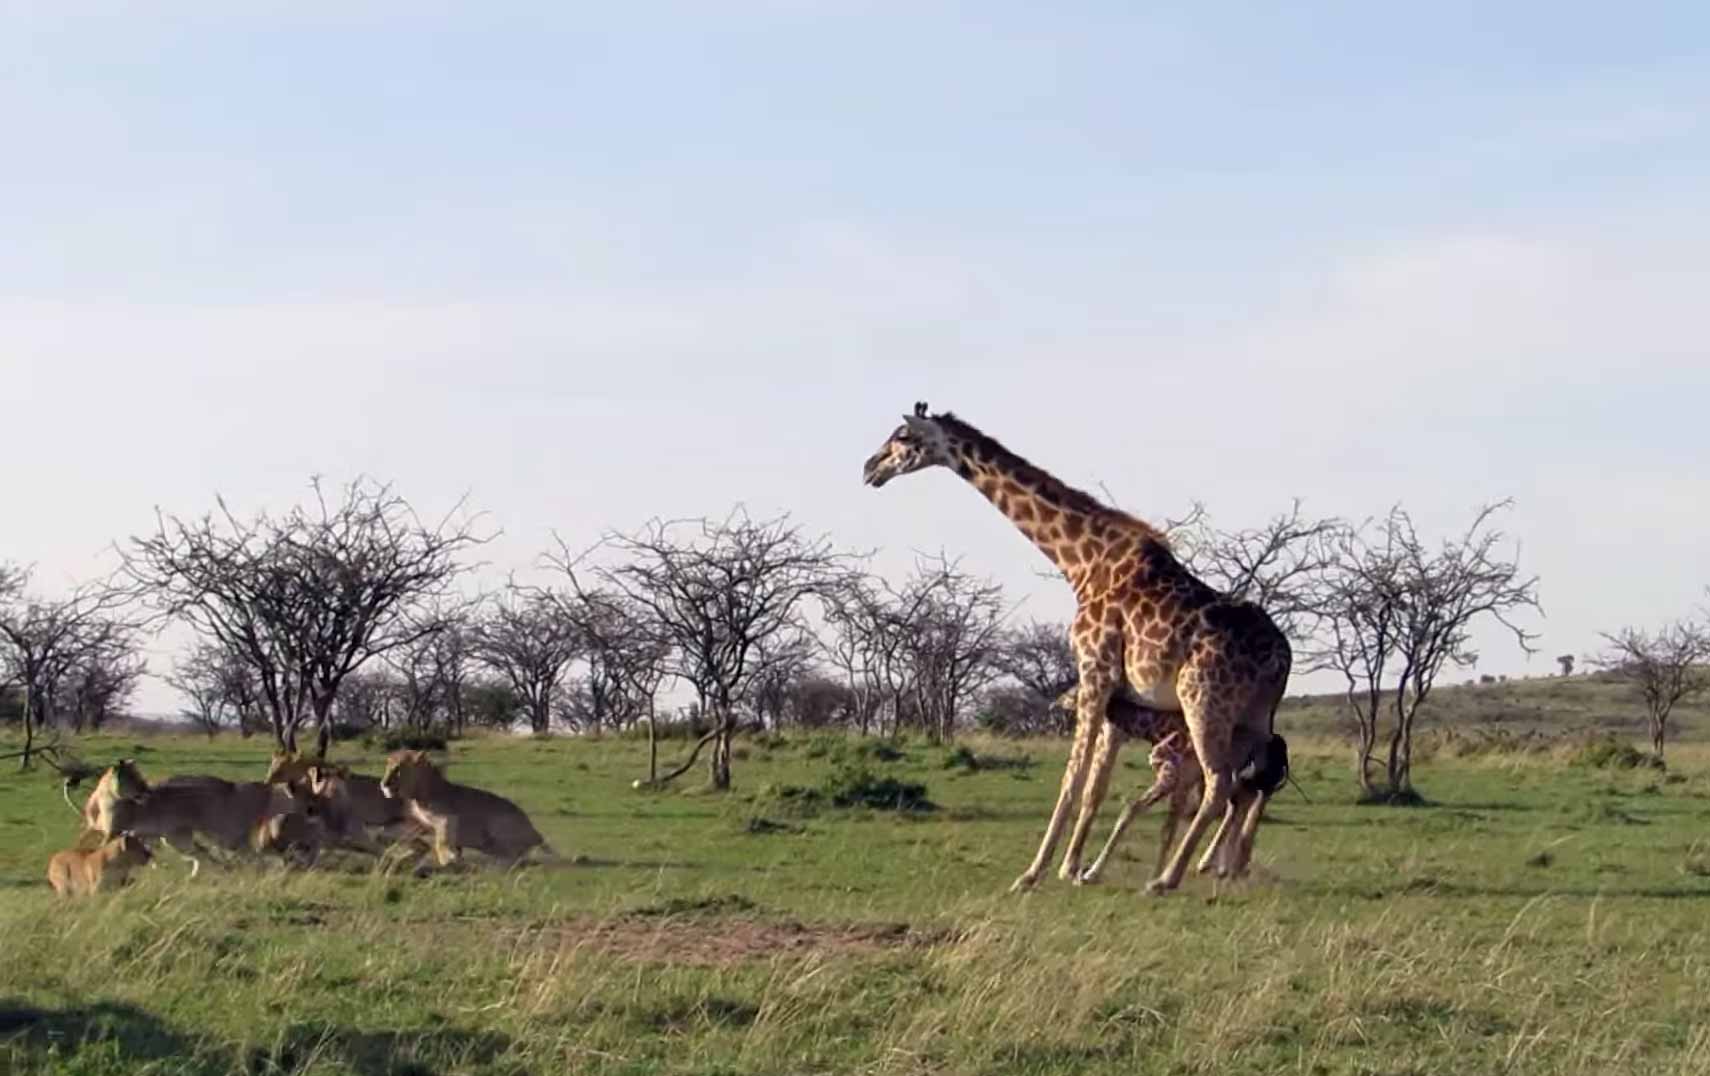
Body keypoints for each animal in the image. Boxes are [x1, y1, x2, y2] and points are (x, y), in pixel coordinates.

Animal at [861, 403, 1285, 889]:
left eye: (902, 437)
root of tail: (1282, 656)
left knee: (1219, 783)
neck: (1081, 563)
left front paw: (1034, 874)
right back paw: (1225, 868)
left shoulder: (1094, 670)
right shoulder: (1119, 693)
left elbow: (1072, 780)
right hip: (1253, 717)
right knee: (1249, 787)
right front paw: (1073, 868)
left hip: (1204, 700)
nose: (869, 468)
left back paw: (1165, 881)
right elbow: (1095, 786)